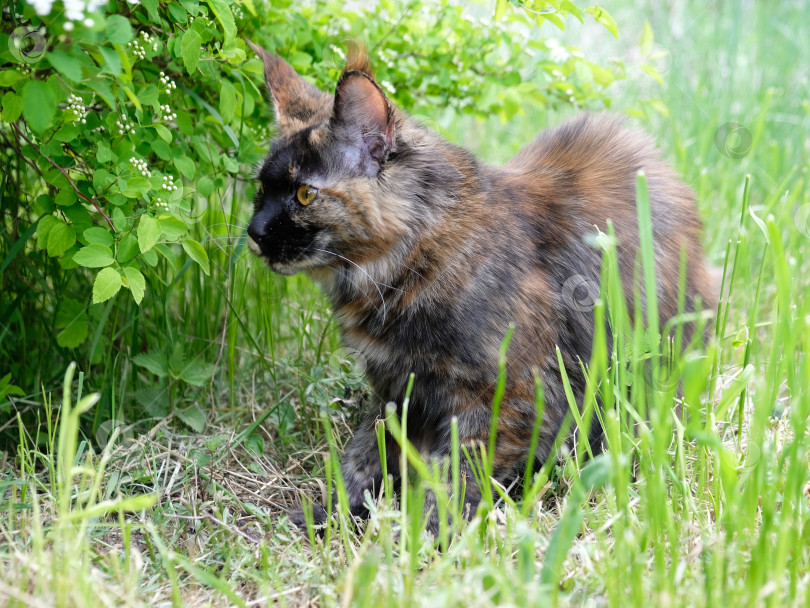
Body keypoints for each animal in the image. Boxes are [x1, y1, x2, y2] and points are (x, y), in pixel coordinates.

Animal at [245, 42, 712, 536]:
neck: (413, 262)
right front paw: (329, 516)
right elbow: (363, 459)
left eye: (304, 195)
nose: (254, 232)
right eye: (261, 190)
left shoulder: (507, 396)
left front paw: (424, 539)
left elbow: (455, 480)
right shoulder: (396, 392)